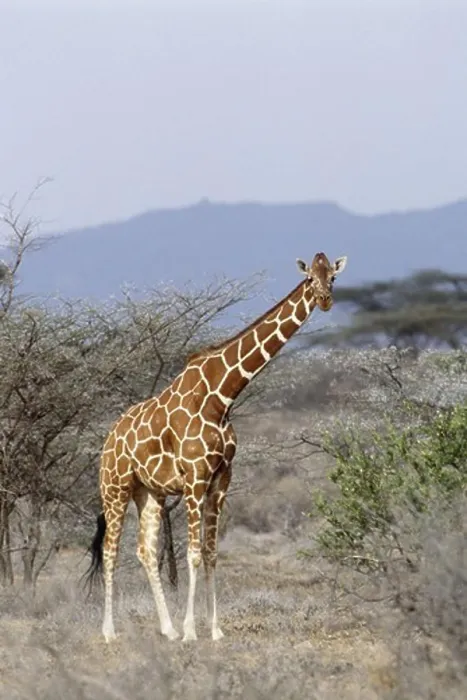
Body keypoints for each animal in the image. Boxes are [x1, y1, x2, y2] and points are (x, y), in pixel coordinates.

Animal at [85, 251, 347, 643]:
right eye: (309, 279)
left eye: (332, 277)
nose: (325, 300)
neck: (221, 398)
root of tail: (109, 439)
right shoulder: (195, 478)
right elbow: (193, 553)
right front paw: (192, 631)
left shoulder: (222, 478)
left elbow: (211, 552)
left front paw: (215, 630)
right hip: (115, 487)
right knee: (110, 550)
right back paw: (110, 632)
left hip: (149, 492)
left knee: (145, 550)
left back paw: (166, 629)